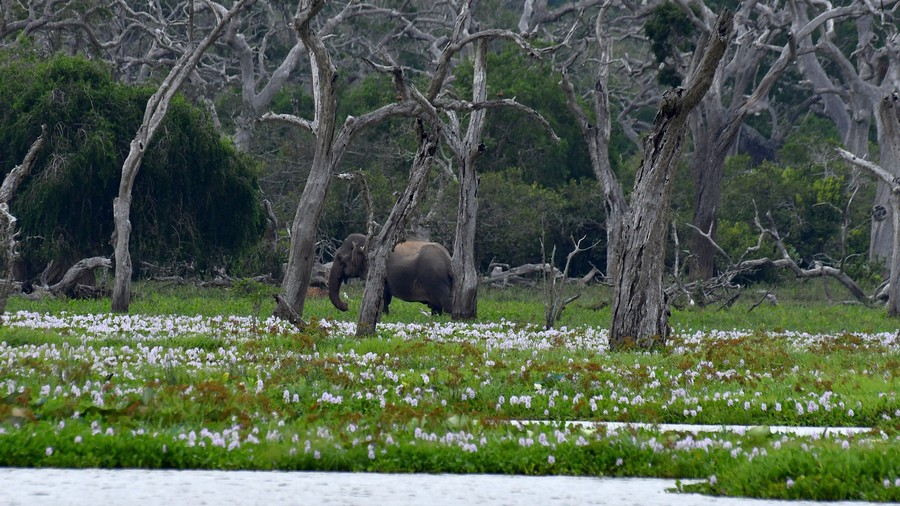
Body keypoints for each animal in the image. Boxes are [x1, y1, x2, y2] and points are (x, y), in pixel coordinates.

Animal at [326, 235, 454, 314]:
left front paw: (383, 314)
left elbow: (382, 294)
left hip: (435, 281)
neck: (366, 240)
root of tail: (448, 259)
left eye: (340, 258)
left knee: (446, 303)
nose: (346, 305)